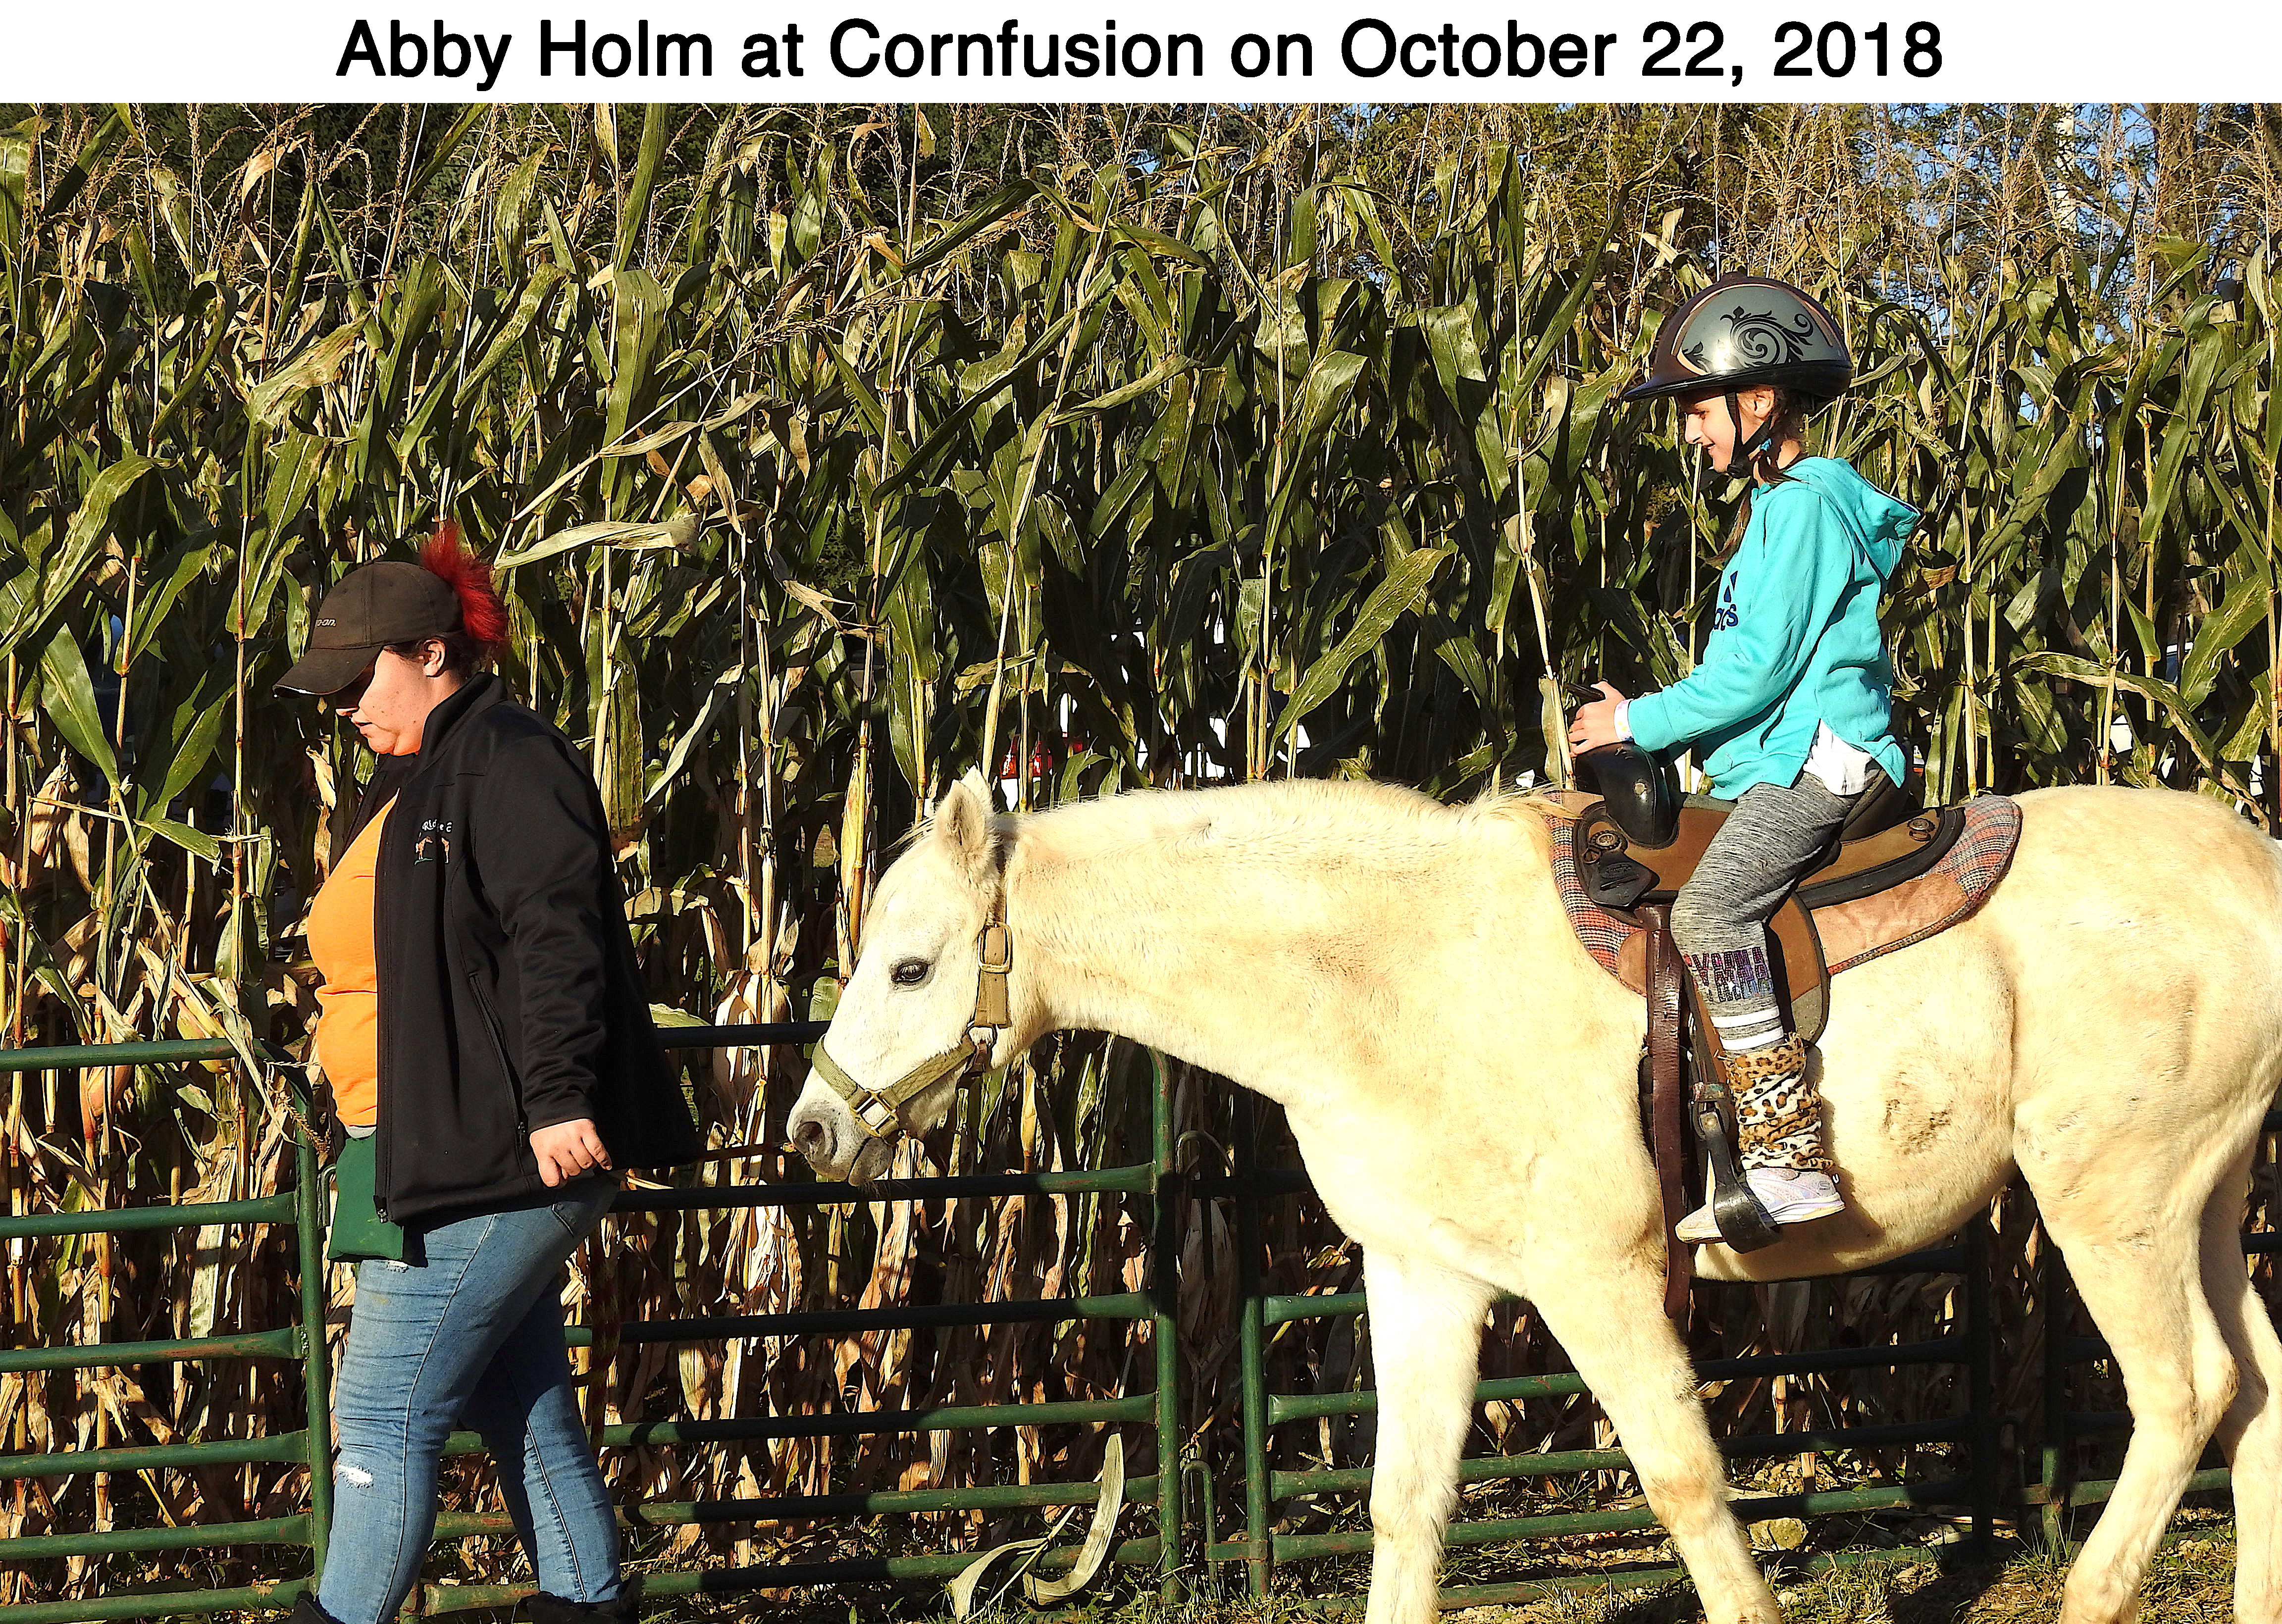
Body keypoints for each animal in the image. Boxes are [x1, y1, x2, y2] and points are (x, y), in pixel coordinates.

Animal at [789, 775, 2282, 1624]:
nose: (810, 1128)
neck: (1399, 968)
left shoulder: (1596, 1279)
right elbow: (1406, 1509)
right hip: (2201, 1204)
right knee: (2257, 1388)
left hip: (2112, 1202)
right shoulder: (1422, 1278)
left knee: (2183, 1393)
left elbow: (1683, 1479)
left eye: (912, 967)